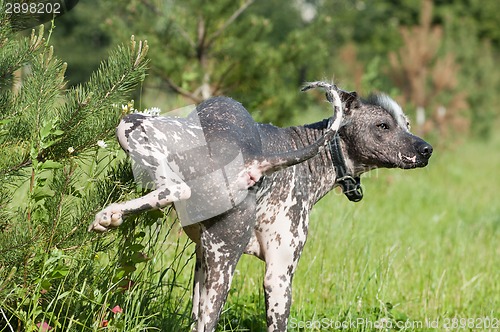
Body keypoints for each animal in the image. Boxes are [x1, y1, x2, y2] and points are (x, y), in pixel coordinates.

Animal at [88, 81, 432, 332]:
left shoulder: (218, 262)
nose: (427, 149)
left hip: (135, 127)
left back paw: (109, 215)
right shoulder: (264, 271)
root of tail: (253, 158)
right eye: (384, 126)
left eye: (406, 123)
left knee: (175, 188)